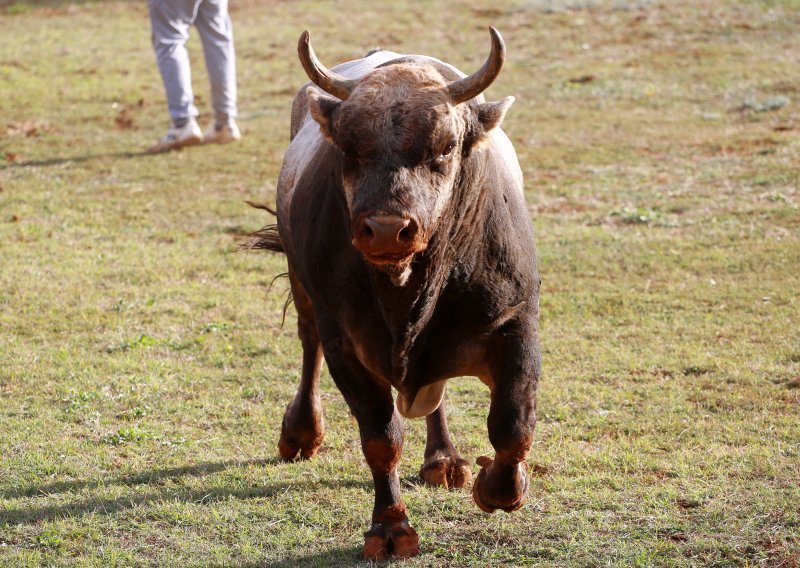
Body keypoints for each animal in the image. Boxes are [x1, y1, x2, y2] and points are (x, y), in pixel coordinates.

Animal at [250, 26, 544, 560]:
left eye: (444, 148)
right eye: (349, 148)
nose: (387, 229)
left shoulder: (515, 324)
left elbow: (513, 425)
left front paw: (498, 486)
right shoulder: (347, 346)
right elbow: (381, 438)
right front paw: (389, 527)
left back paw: (443, 458)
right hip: (305, 294)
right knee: (308, 343)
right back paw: (301, 432)